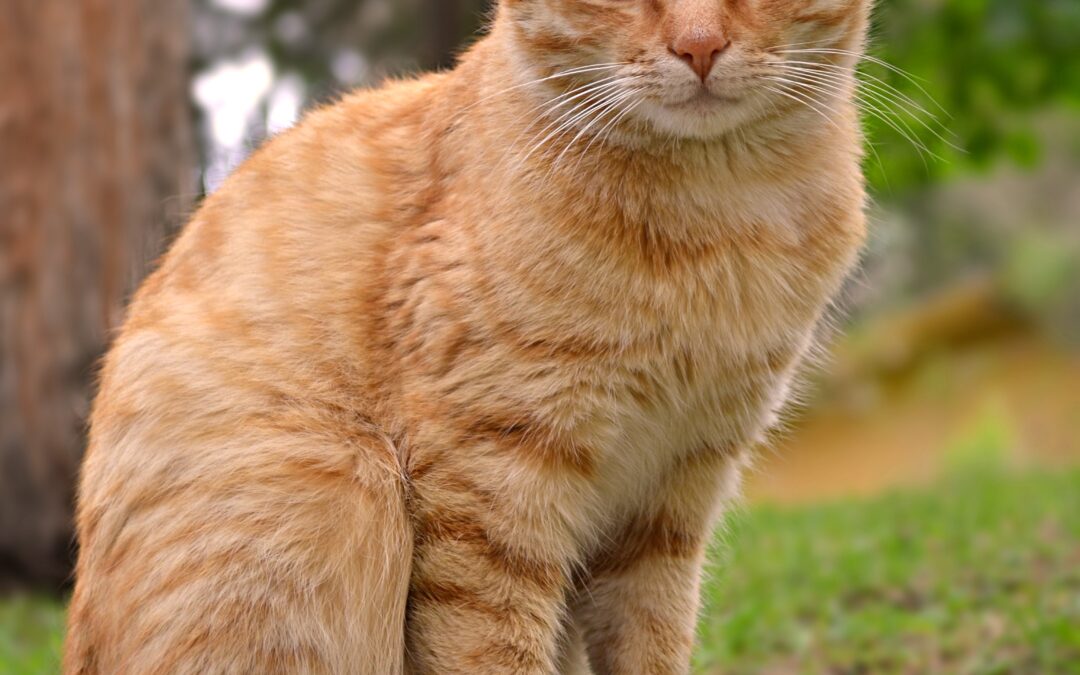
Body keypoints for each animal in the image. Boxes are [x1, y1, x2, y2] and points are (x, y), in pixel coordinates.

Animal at [65, 0, 868, 669]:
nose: (699, 45)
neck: (721, 221)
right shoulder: (492, 485)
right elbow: (492, 648)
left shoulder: (671, 497)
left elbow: (650, 646)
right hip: (339, 485)